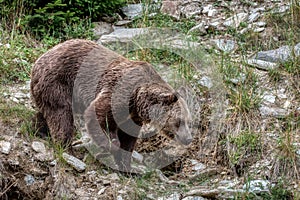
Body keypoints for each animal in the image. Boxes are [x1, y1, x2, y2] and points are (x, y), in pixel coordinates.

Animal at [30, 39, 193, 172]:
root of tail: (38, 60)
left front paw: (126, 166)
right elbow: (97, 116)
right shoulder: (119, 93)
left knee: (46, 112)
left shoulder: (132, 115)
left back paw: (39, 130)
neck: (139, 100)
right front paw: (110, 147)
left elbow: (128, 138)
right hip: (59, 82)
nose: (188, 139)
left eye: (189, 122)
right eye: (179, 121)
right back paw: (66, 148)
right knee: (61, 115)